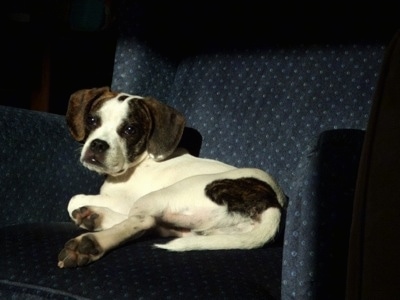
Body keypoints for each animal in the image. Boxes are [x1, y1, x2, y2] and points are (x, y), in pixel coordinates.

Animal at [57, 86, 286, 268]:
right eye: (92, 120)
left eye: (130, 130)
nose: (97, 144)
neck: (140, 161)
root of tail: (271, 203)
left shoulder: (124, 200)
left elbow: (73, 199)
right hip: (197, 228)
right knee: (155, 226)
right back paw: (95, 217)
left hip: (161, 195)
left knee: (143, 221)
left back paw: (90, 243)